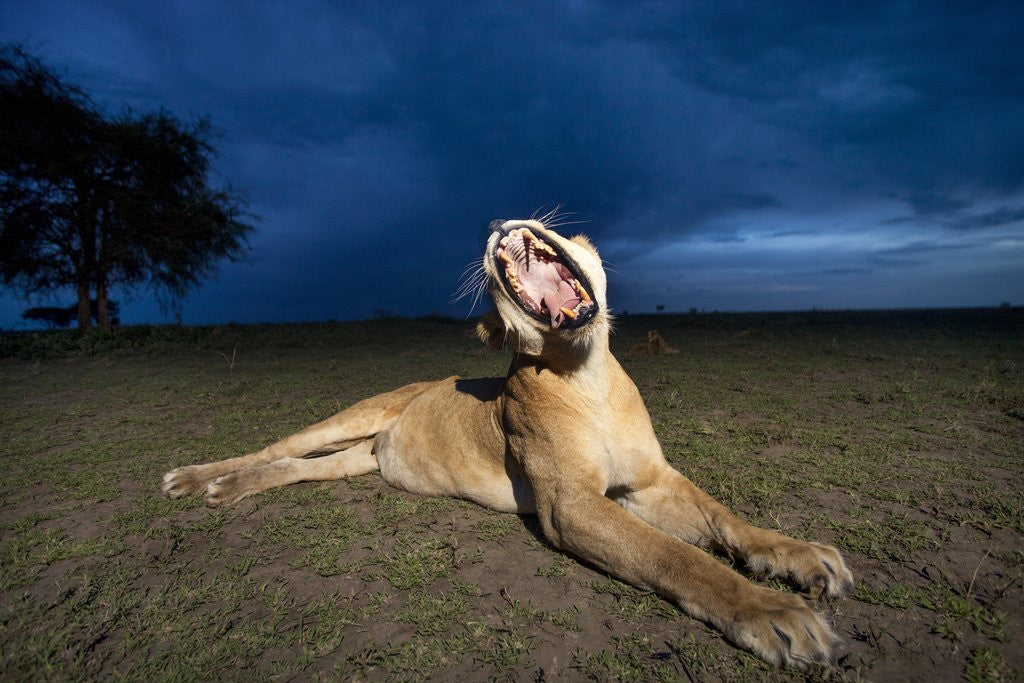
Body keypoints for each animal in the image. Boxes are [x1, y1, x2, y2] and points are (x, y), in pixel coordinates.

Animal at [162, 218, 852, 667]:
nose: (498, 223)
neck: (588, 373)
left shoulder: (649, 481)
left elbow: (724, 520)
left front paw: (805, 559)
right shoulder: (569, 506)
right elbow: (678, 557)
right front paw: (775, 616)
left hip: (354, 460)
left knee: (295, 469)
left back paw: (229, 488)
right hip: (351, 415)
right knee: (275, 448)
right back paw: (198, 478)